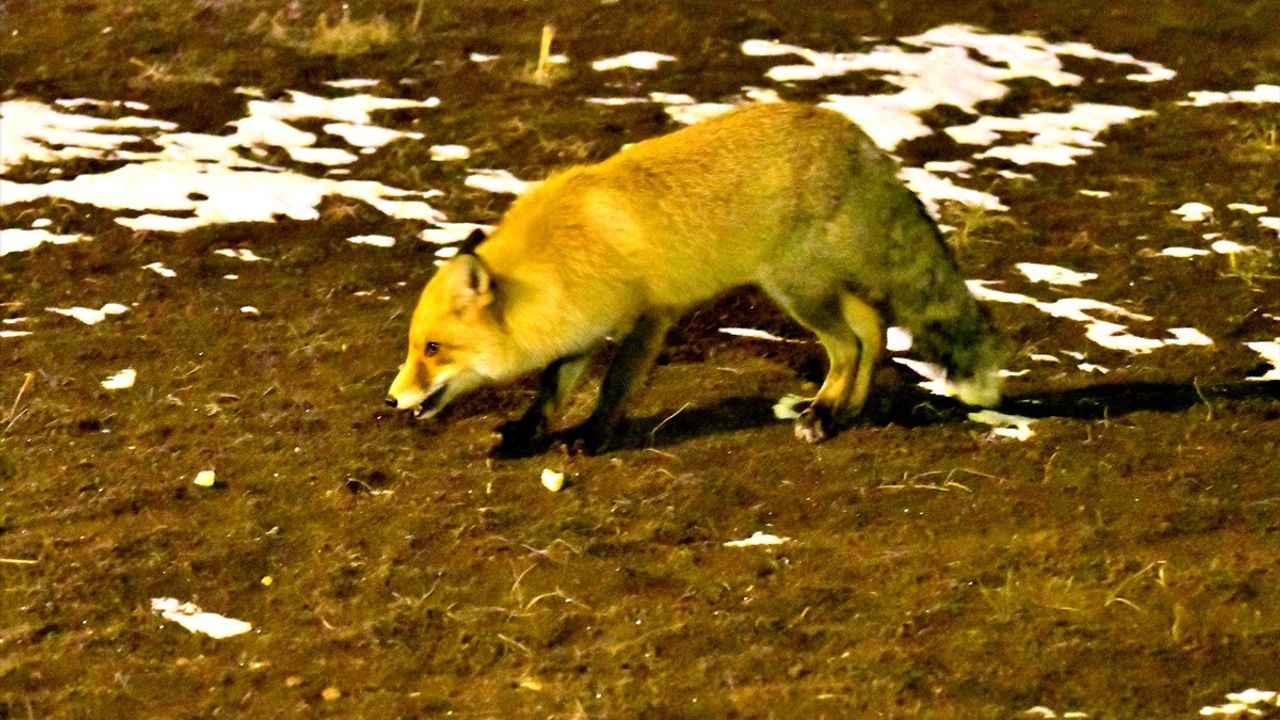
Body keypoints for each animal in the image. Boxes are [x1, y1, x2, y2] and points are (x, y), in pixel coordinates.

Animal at [384, 103, 1003, 450]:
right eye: (413, 346)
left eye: (433, 348)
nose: (390, 402)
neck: (561, 253)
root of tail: (858, 137)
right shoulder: (579, 328)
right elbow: (551, 389)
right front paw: (523, 436)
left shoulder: (650, 316)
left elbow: (614, 386)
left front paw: (591, 439)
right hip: (813, 289)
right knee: (872, 330)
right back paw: (847, 413)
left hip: (796, 291)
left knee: (849, 345)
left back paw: (823, 415)